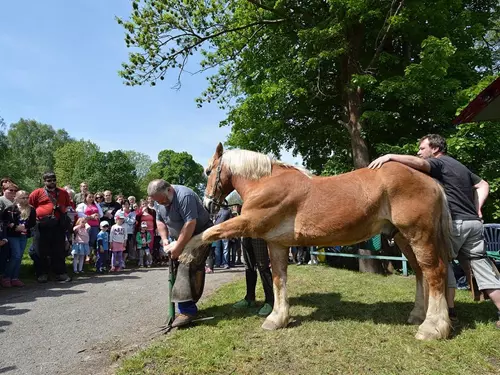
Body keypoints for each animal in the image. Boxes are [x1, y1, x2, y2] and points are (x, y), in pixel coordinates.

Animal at [180, 143, 454, 340]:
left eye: (208, 171)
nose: (208, 204)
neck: (266, 182)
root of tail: (430, 180)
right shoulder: (276, 243)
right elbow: (279, 279)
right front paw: (277, 319)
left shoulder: (248, 223)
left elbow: (210, 232)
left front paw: (182, 251)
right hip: (403, 238)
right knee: (420, 272)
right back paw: (418, 315)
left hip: (419, 234)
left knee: (435, 272)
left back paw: (432, 328)